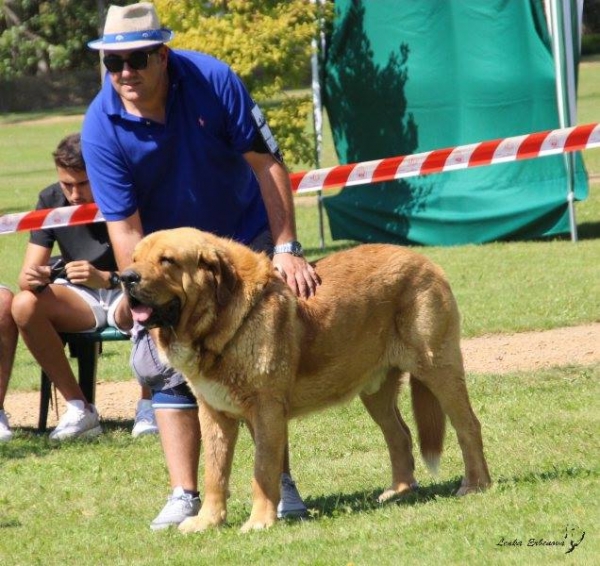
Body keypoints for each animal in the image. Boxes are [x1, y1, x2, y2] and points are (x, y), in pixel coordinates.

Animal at [119, 226, 490, 532]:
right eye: (135, 258)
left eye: (167, 260)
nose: (125, 277)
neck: (220, 324)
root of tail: (427, 261)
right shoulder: (214, 413)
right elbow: (214, 473)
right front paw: (207, 521)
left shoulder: (267, 411)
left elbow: (263, 470)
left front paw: (259, 522)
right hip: (375, 390)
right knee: (399, 435)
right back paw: (398, 491)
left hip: (438, 367)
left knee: (468, 425)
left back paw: (476, 485)